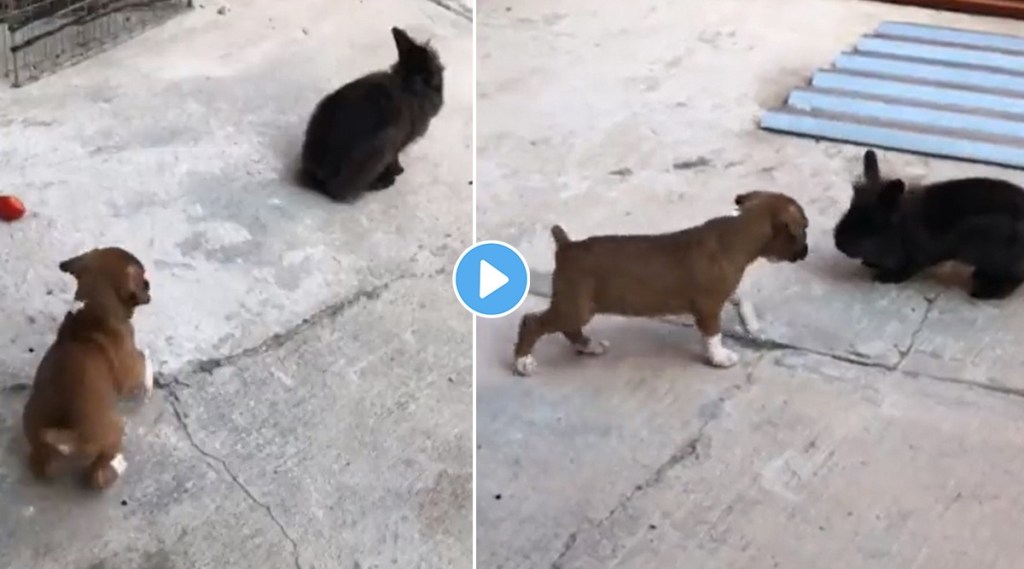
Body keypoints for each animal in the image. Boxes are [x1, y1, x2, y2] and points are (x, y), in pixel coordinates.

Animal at [22, 246, 154, 491]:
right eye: (143, 278)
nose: (148, 284)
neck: (92, 308)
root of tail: (65, 435)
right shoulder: (130, 372)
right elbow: (144, 359)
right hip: (113, 431)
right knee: (97, 476)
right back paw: (118, 465)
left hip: (35, 438)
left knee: (41, 465)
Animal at [294, 28, 442, 204]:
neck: (410, 84)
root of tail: (320, 174)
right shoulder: (398, 144)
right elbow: (395, 159)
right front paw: (398, 171)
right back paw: (383, 182)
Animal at [512, 193, 806, 376]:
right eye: (804, 229)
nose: (805, 251)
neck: (738, 229)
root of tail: (567, 246)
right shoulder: (709, 307)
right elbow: (713, 335)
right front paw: (719, 358)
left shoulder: (728, 291)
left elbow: (743, 299)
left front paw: (753, 327)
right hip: (575, 307)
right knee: (532, 323)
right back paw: (523, 362)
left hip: (576, 306)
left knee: (569, 329)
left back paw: (588, 345)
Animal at [835, 147, 1024, 298]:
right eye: (849, 209)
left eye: (869, 222)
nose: (838, 242)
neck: (900, 227)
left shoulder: (917, 257)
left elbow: (906, 271)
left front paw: (884, 278)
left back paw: (982, 293)